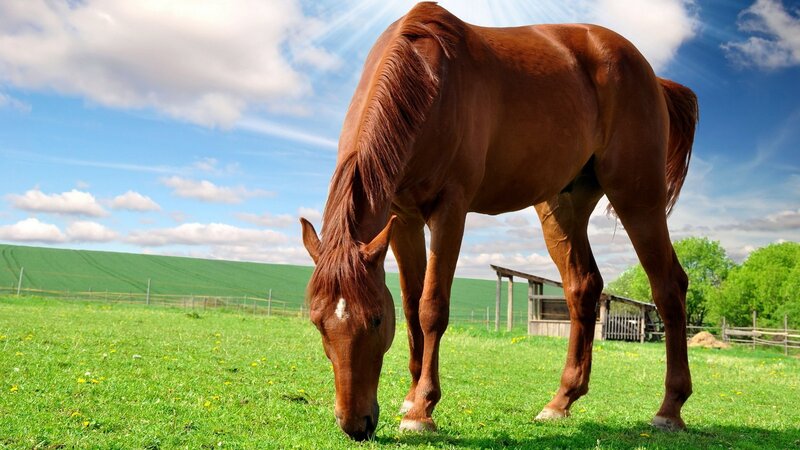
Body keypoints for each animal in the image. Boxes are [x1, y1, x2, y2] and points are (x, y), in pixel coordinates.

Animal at [300, 2, 698, 441]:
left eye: (374, 319)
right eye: (318, 323)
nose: (355, 425)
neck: (428, 81)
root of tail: (652, 76)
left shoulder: (450, 209)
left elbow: (431, 307)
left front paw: (421, 410)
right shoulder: (402, 217)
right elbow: (410, 306)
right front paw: (410, 396)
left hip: (637, 196)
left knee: (669, 287)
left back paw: (670, 408)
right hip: (563, 206)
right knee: (583, 287)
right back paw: (561, 401)